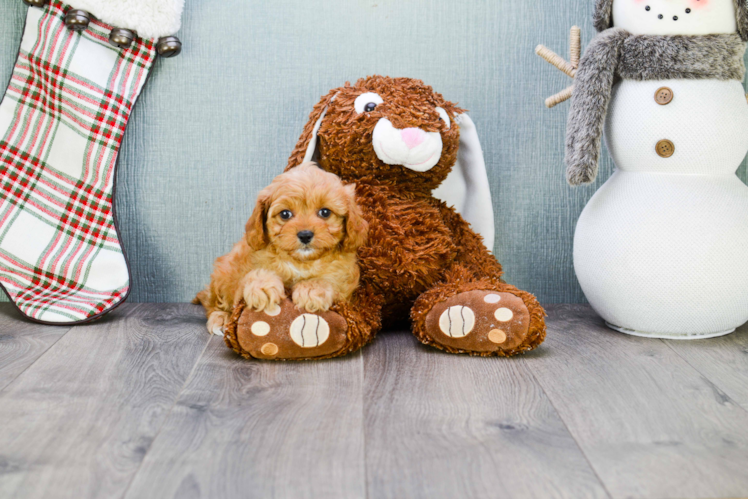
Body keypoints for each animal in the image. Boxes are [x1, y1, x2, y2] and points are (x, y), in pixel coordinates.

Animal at [193, 163, 368, 336]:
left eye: (325, 212)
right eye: (285, 214)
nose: (305, 235)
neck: (301, 262)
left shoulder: (345, 286)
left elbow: (332, 282)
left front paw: (311, 289)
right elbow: (247, 280)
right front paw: (261, 286)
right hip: (225, 272)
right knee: (214, 302)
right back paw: (220, 318)